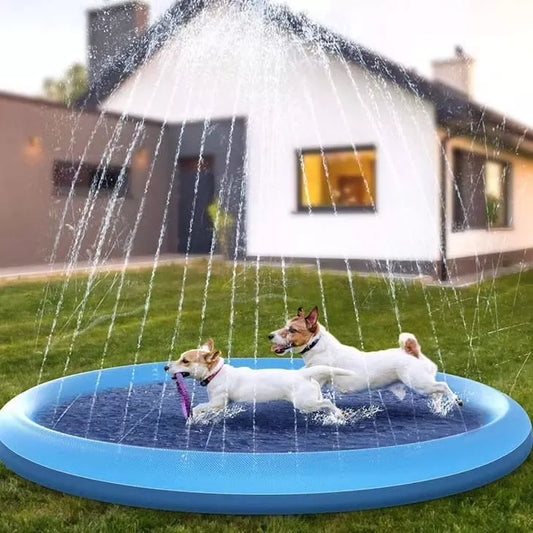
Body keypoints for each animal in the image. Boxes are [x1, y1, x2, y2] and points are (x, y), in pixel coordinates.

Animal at [268, 306, 460, 406]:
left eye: (292, 330)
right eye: (285, 326)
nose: (270, 335)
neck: (317, 345)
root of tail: (414, 353)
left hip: (418, 382)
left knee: (442, 386)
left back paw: (456, 400)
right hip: (424, 383)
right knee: (437, 392)